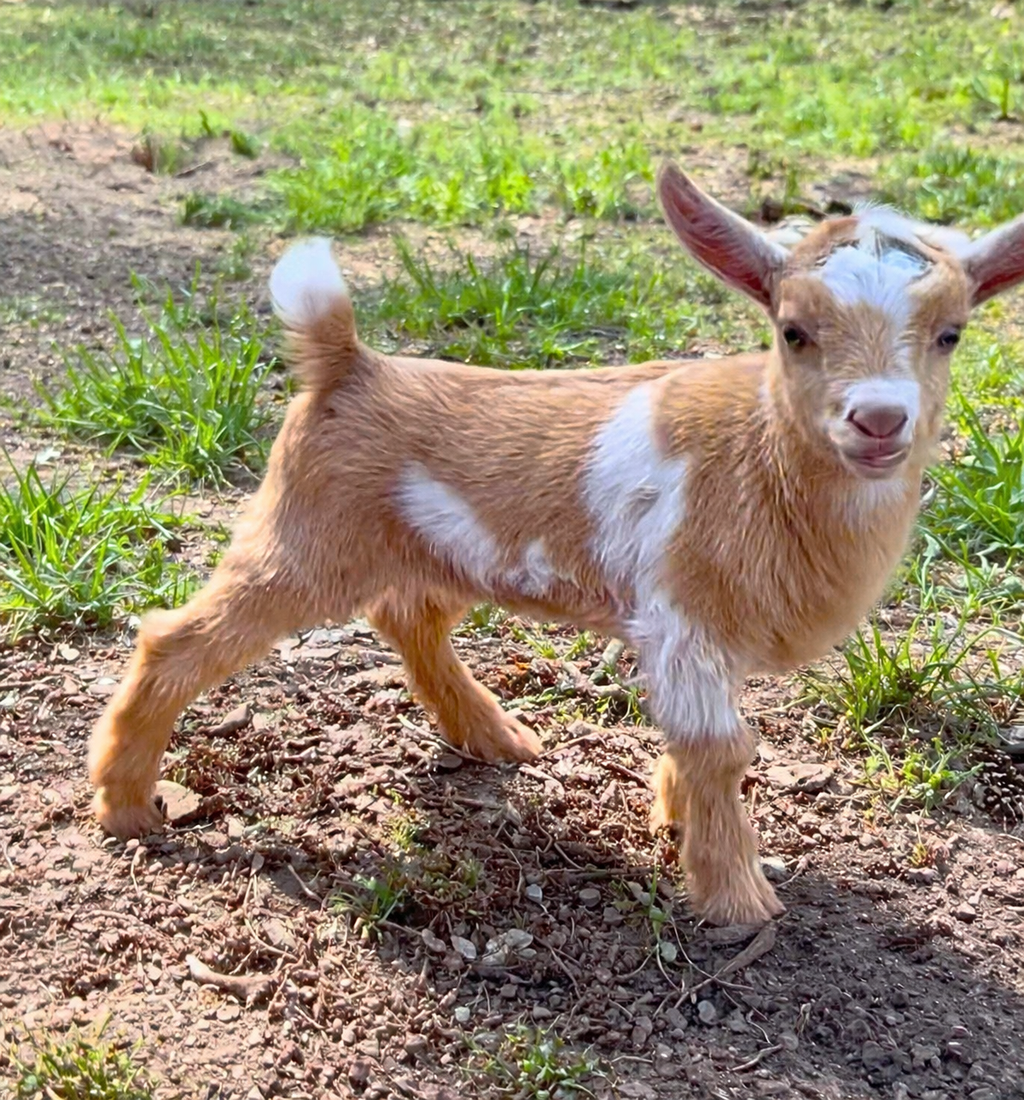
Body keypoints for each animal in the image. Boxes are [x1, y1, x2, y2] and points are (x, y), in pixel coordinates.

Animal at [88, 162, 1024, 925]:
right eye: (793, 330)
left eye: (951, 333)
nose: (879, 419)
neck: (760, 453)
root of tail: (346, 362)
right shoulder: (683, 620)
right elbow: (722, 748)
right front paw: (738, 901)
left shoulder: (699, 637)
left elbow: (698, 748)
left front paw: (672, 818)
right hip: (304, 542)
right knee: (177, 639)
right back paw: (128, 807)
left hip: (431, 551)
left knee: (409, 618)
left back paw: (497, 739)